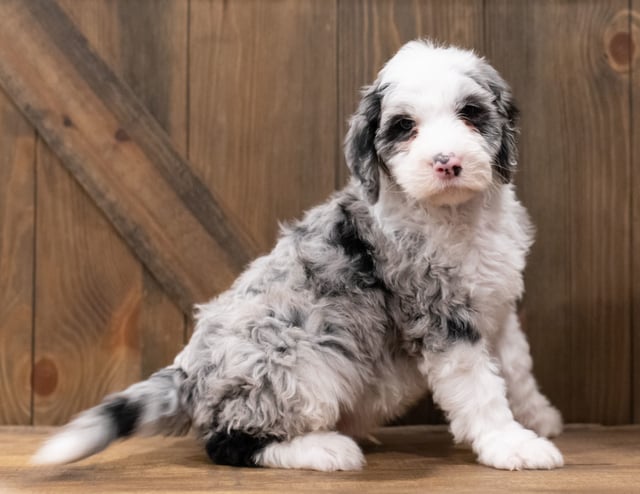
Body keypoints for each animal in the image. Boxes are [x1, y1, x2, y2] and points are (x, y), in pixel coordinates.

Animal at [32, 38, 564, 470]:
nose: (447, 163)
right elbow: (479, 388)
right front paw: (512, 445)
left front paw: (540, 418)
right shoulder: (441, 318)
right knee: (229, 443)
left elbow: (515, 367)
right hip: (300, 367)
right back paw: (329, 449)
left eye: (470, 113)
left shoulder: (497, 308)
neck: (456, 216)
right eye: (404, 127)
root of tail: (187, 375)